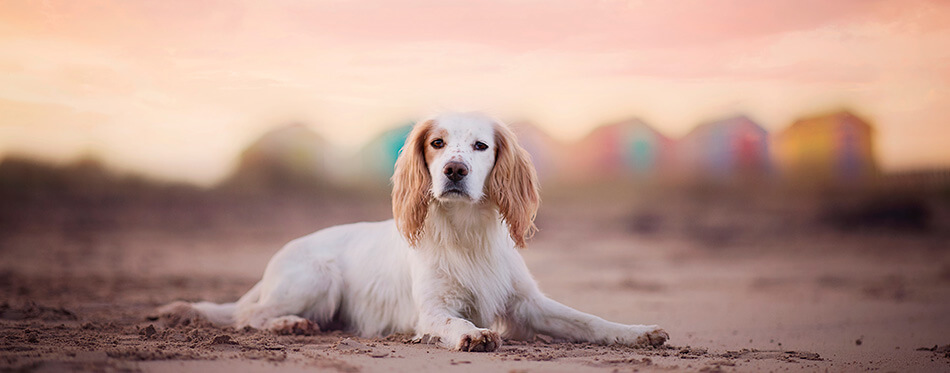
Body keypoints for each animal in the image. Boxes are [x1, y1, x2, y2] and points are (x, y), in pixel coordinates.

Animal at [160, 112, 668, 350]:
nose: (454, 171)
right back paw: (290, 324)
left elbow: (590, 321)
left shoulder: (527, 304)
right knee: (249, 316)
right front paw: (473, 336)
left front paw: (638, 333)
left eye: (480, 145)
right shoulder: (432, 311)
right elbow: (456, 322)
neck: (466, 233)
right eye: (437, 143)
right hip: (316, 278)